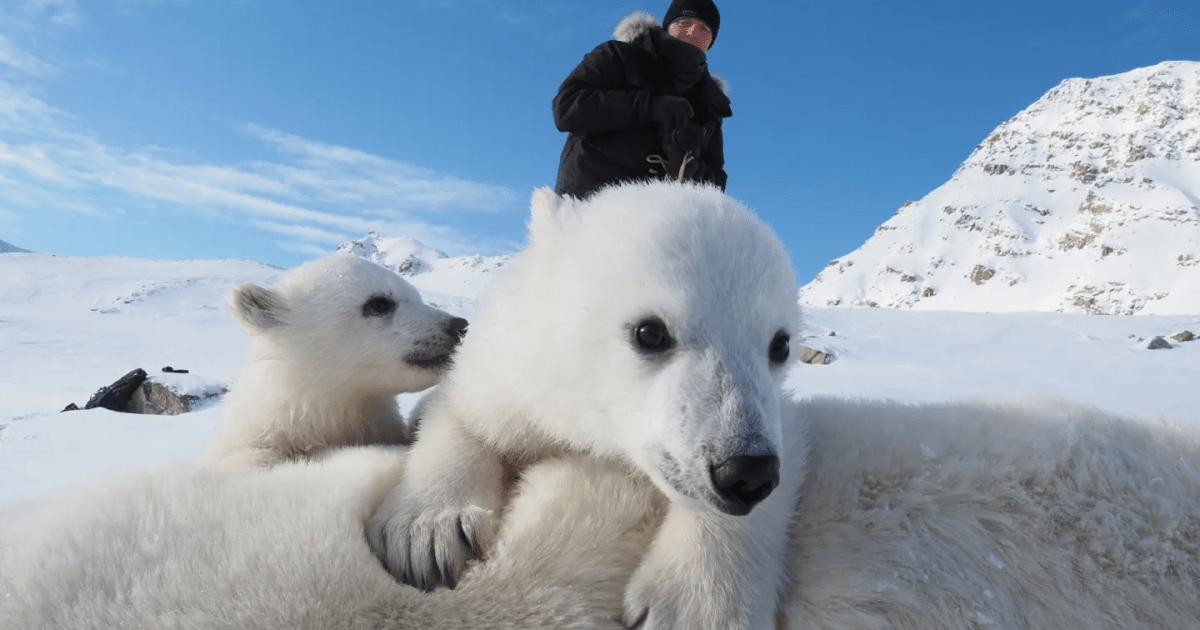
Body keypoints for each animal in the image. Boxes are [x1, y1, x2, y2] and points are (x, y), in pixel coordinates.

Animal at [367, 181, 807, 629]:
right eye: (649, 331)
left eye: (781, 344)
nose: (745, 472)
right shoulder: (512, 373)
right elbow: (462, 412)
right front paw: (428, 535)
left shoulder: (777, 413)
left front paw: (699, 606)